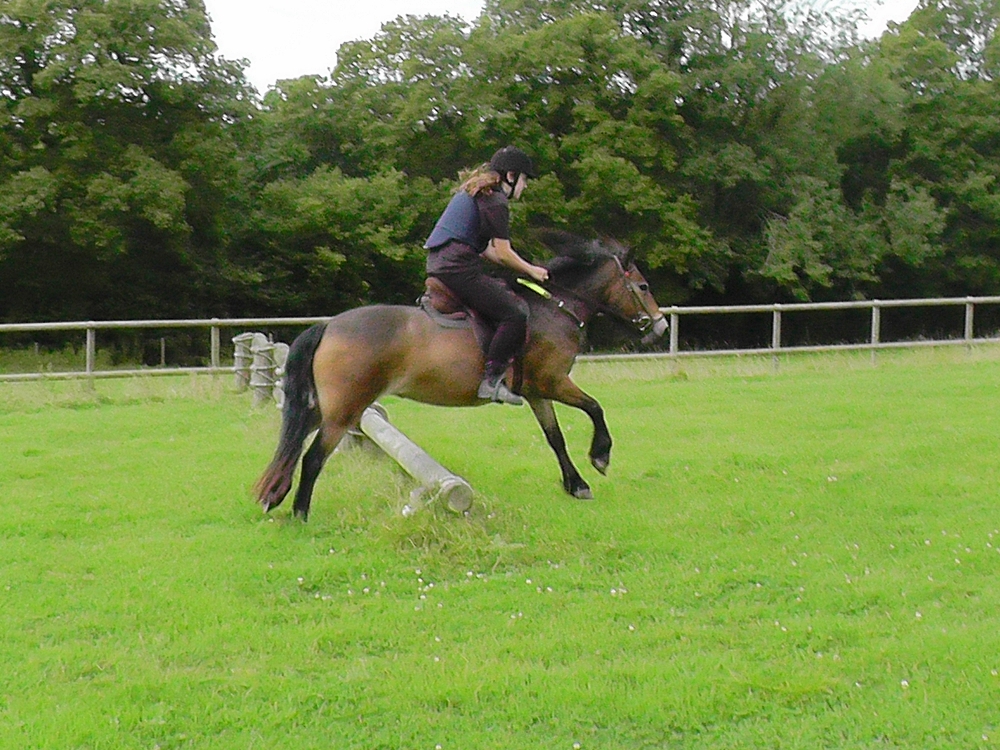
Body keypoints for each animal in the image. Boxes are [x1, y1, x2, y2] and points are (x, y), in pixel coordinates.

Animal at [254, 233, 667, 519]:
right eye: (643, 287)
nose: (660, 326)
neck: (555, 308)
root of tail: (330, 325)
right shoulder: (553, 382)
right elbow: (595, 408)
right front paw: (600, 457)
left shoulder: (537, 392)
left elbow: (556, 438)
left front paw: (576, 484)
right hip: (344, 410)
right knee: (312, 458)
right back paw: (301, 512)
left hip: (323, 407)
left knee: (293, 448)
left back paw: (275, 497)